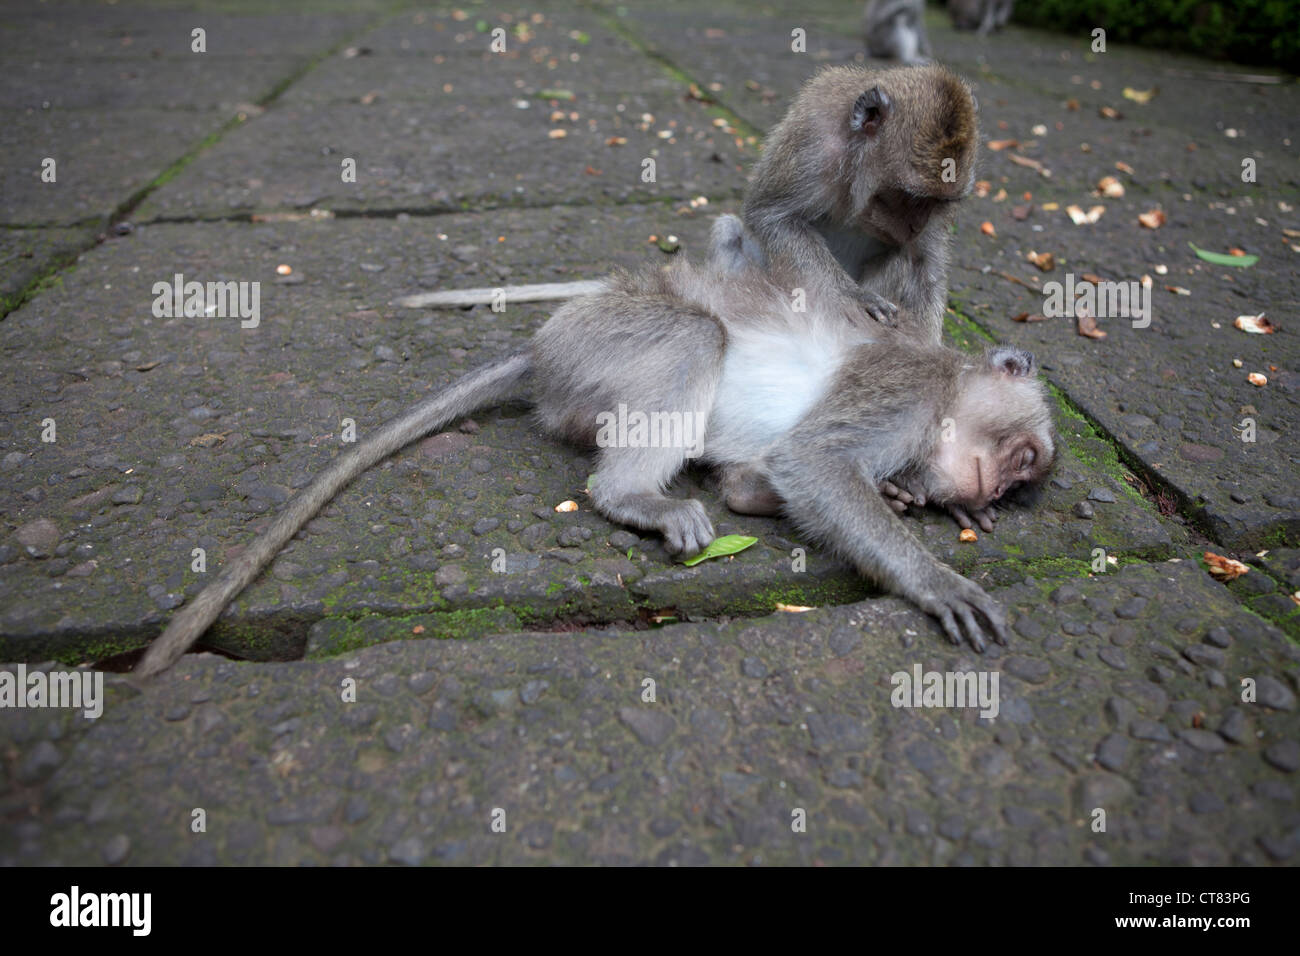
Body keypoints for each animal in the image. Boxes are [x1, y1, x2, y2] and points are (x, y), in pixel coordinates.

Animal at [137, 247, 1055, 681]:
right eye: (1025, 458)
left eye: (1022, 482)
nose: (1004, 487)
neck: (944, 392)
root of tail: (543, 346)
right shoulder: (902, 386)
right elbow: (817, 459)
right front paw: (940, 581)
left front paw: (928, 504)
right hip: (608, 341)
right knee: (694, 337)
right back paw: (633, 496)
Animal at [743, 61, 977, 343]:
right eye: (912, 198)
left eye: (938, 203)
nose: (917, 226)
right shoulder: (814, 145)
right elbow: (772, 216)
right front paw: (855, 296)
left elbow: (924, 263)